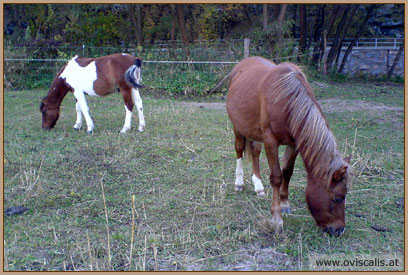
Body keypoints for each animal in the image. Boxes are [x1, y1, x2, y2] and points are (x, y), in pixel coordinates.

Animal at [228, 56, 352, 237]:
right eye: (338, 197)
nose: (339, 230)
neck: (287, 100)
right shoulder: (270, 141)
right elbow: (276, 176)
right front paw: (277, 218)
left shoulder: (294, 143)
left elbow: (287, 171)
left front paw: (285, 203)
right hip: (238, 127)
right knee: (239, 149)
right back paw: (239, 183)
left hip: (254, 131)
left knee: (255, 152)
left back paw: (258, 187)